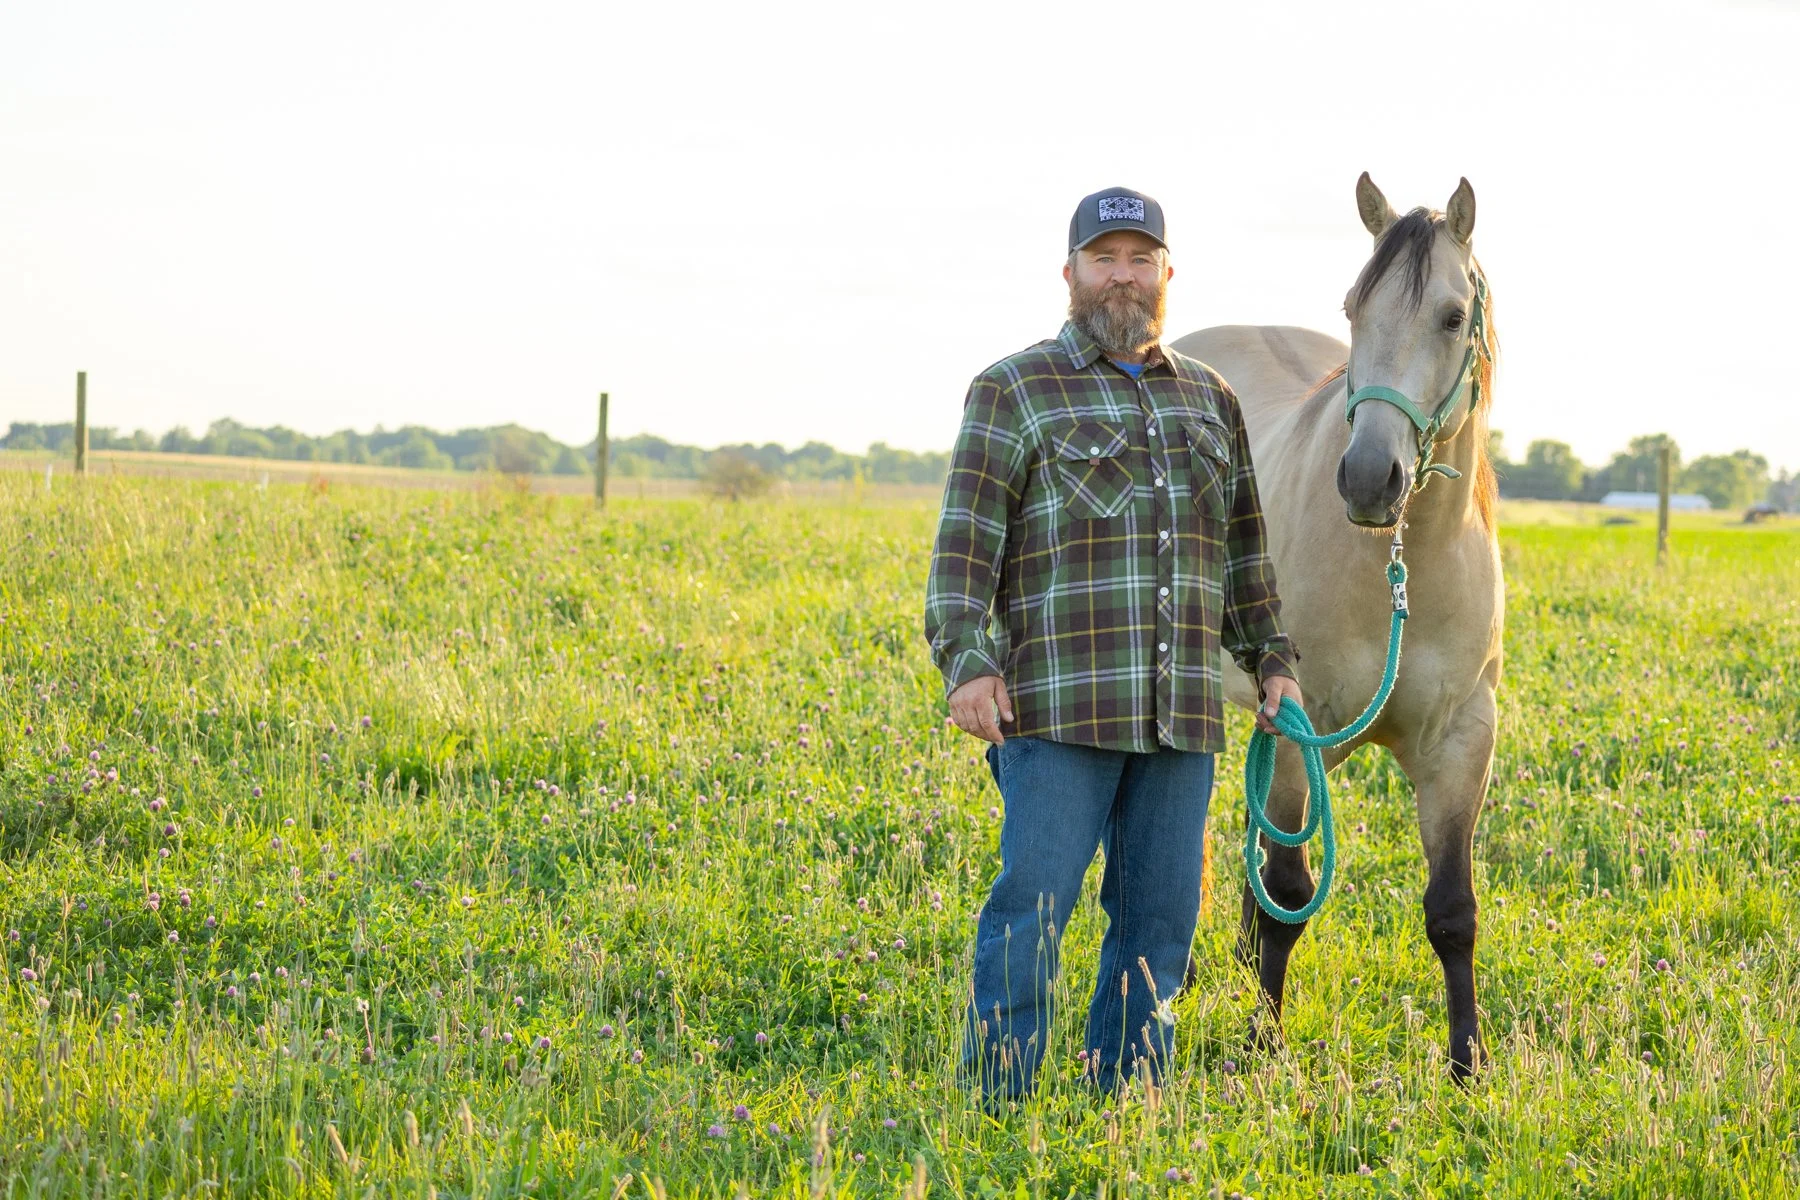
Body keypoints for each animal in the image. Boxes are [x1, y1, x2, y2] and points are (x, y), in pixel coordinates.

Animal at [1170, 174, 1502, 1081]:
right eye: (1355, 308)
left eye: (1452, 316)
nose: (1366, 479)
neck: (1405, 570)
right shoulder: (1300, 728)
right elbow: (1288, 893)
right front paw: (1262, 1046)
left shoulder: (1462, 742)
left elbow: (1452, 909)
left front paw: (1468, 1067)